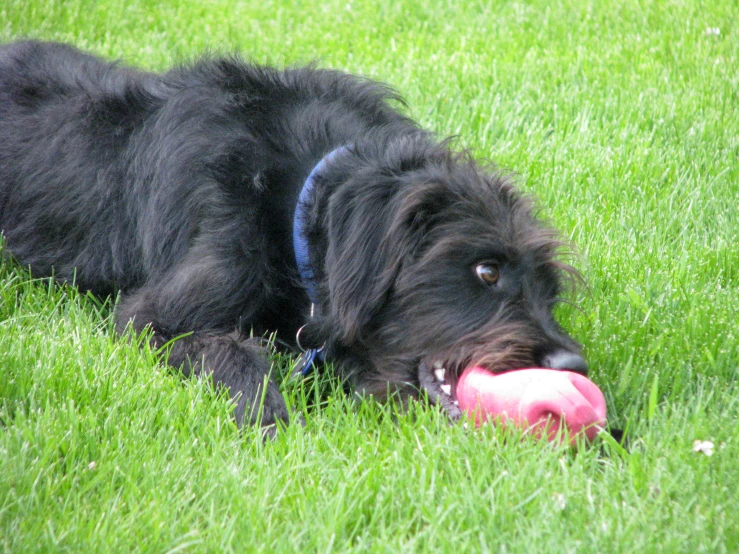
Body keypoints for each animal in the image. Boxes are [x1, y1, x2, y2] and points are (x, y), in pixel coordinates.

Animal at [1, 42, 588, 432]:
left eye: (550, 290)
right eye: (486, 271)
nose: (573, 367)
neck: (300, 198)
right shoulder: (155, 317)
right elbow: (232, 354)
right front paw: (272, 419)